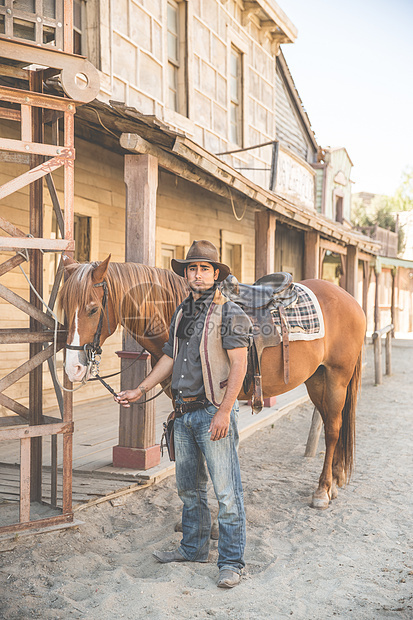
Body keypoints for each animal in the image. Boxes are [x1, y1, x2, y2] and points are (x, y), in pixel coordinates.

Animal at [58, 254, 364, 512]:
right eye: (65, 307)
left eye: (93, 309)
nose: (73, 368)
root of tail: (350, 299)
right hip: (317, 379)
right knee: (333, 423)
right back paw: (336, 480)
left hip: (337, 377)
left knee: (333, 429)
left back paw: (323, 490)